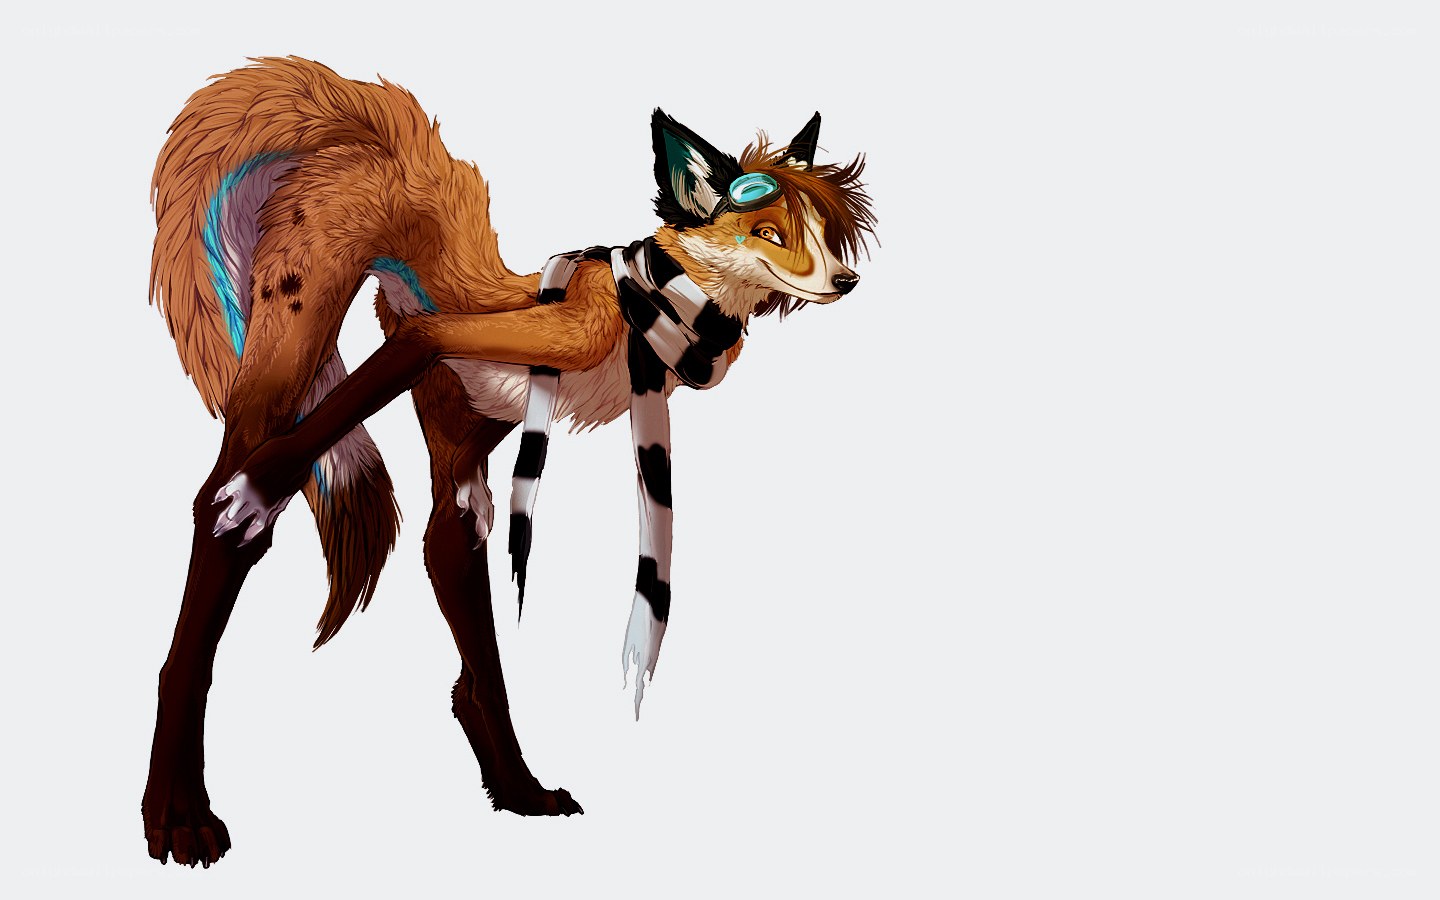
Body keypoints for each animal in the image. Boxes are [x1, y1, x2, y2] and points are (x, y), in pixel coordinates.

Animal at [145, 56, 875, 867]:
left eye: (821, 231)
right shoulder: (505, 339)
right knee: (220, 508)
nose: (845, 281)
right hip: (291, 367)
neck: (656, 312)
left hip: (462, 434)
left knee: (450, 546)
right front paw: (260, 488)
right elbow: (407, 350)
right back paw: (177, 805)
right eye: (767, 231)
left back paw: (516, 785)